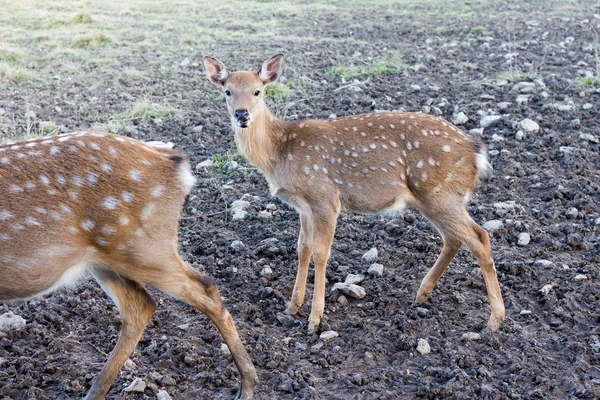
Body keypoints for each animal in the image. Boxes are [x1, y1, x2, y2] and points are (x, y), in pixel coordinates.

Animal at [0, 133, 255, 398]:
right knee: (142, 305)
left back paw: (247, 386)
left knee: (204, 289)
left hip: (143, 248)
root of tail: (175, 162)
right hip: (110, 258)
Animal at [204, 54, 504, 334]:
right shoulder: (303, 206)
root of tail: (476, 150)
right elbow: (302, 249)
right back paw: (421, 295)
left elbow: (320, 254)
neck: (279, 153)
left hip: (440, 192)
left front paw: (314, 320)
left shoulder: (325, 198)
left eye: (258, 91)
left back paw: (494, 320)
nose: (242, 114)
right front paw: (291, 307)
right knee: (454, 239)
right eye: (227, 91)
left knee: (480, 237)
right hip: (432, 198)